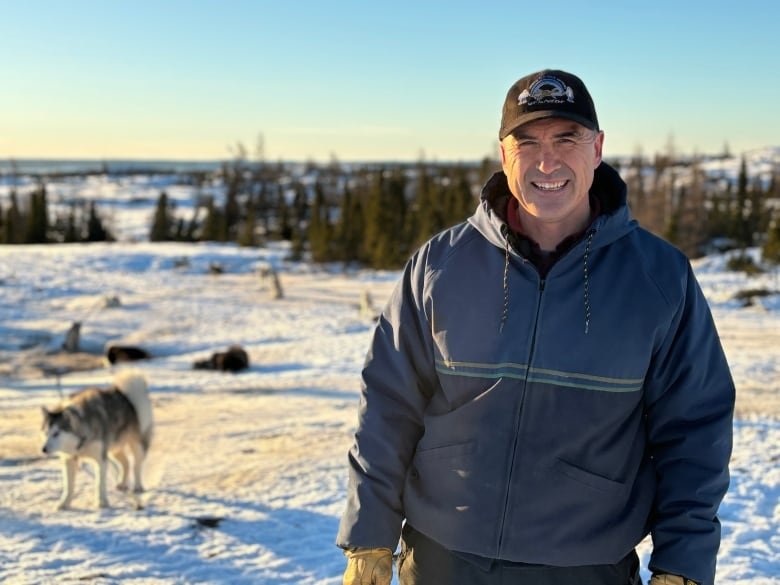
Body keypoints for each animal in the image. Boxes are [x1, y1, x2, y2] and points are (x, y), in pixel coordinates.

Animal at [40, 372, 153, 508]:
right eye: (46, 433)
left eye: (56, 433)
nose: (44, 449)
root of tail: (124, 395)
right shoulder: (69, 459)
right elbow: (68, 485)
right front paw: (64, 503)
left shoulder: (100, 459)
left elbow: (99, 483)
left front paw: (101, 502)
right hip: (113, 448)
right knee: (125, 462)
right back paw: (122, 483)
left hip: (136, 444)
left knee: (136, 464)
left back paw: (137, 486)